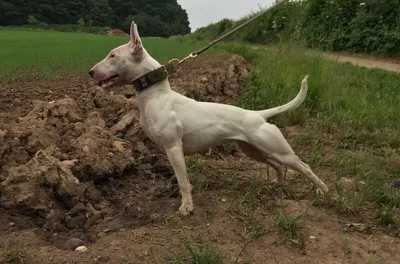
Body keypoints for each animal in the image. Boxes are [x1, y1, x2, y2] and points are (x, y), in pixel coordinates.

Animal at [90, 22, 328, 217]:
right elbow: (184, 179)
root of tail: (258, 115)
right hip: (253, 150)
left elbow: (182, 181)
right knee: (277, 165)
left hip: (278, 149)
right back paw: (277, 185)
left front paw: (186, 207)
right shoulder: (170, 151)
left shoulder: (173, 147)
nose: (90, 71)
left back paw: (323, 190)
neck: (156, 95)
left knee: (304, 166)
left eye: (112, 55)